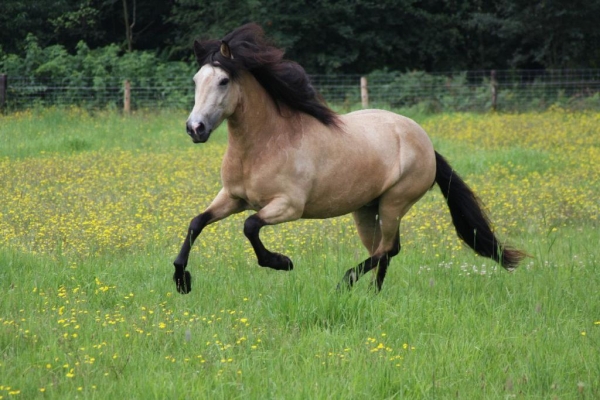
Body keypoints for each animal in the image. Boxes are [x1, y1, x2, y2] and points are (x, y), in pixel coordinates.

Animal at [171, 24, 524, 294]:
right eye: (195, 80)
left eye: (223, 81)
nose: (194, 128)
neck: (264, 145)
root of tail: (424, 141)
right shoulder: (232, 197)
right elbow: (196, 223)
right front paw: (181, 280)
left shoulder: (288, 206)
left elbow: (250, 226)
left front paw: (282, 262)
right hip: (366, 209)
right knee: (384, 251)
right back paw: (371, 295)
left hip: (394, 202)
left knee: (389, 249)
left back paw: (347, 283)